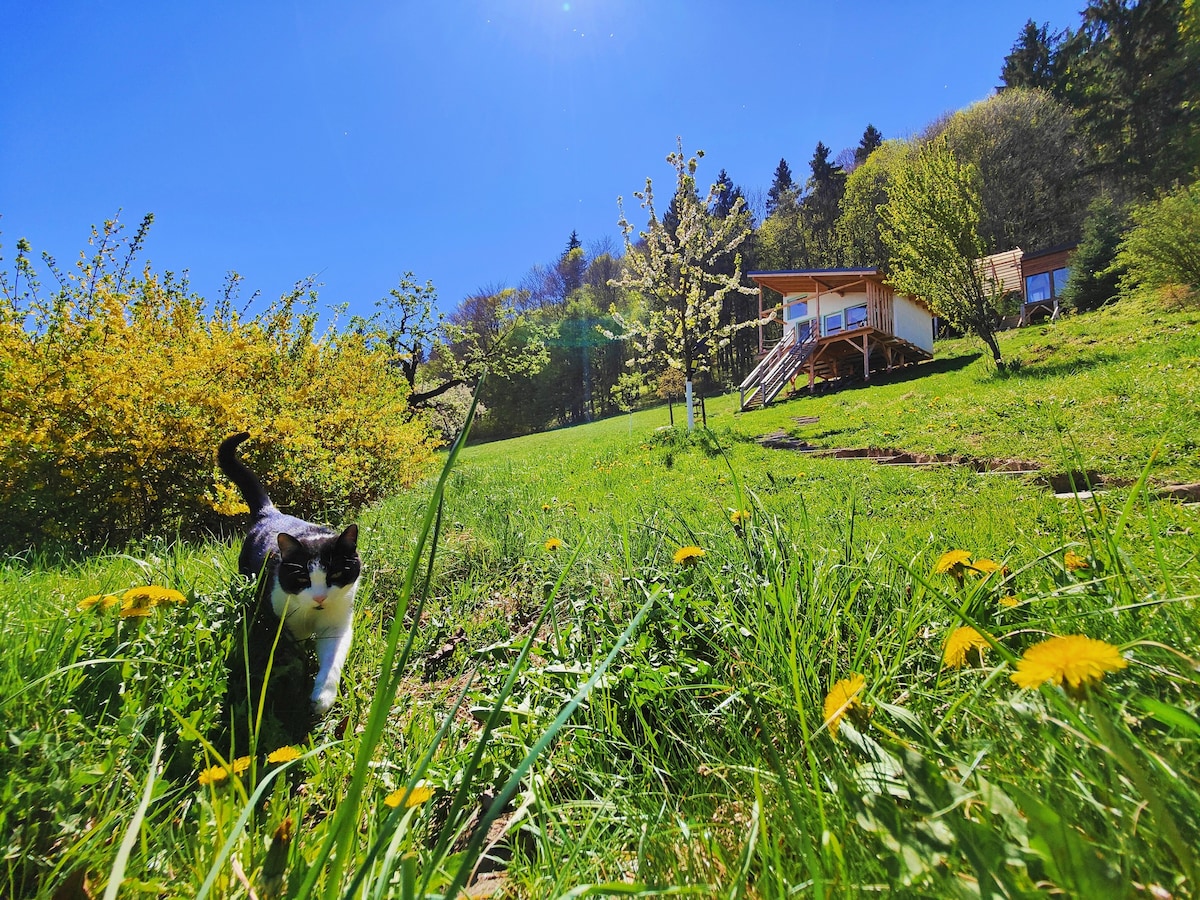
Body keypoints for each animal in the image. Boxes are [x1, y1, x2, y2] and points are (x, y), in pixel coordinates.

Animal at [219, 432, 360, 720]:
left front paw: (323, 697)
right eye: (303, 579)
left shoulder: (338, 622)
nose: (319, 598)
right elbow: (296, 653)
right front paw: (298, 677)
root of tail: (270, 512)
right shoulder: (287, 620)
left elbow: (332, 659)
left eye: (336, 574)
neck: (314, 615)